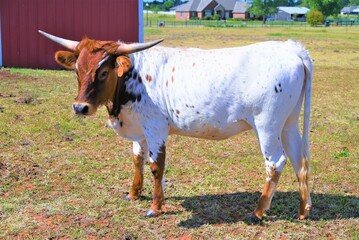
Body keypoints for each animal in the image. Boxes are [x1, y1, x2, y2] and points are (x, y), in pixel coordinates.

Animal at [40, 30, 314, 221]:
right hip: (288, 123)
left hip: (267, 124)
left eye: (104, 72)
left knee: (275, 162)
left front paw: (155, 207)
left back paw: (257, 212)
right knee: (299, 160)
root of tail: (291, 48)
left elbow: (156, 166)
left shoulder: (155, 128)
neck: (132, 78)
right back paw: (303, 211)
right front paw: (134, 193)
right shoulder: (140, 130)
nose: (80, 107)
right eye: (77, 70)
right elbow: (137, 159)